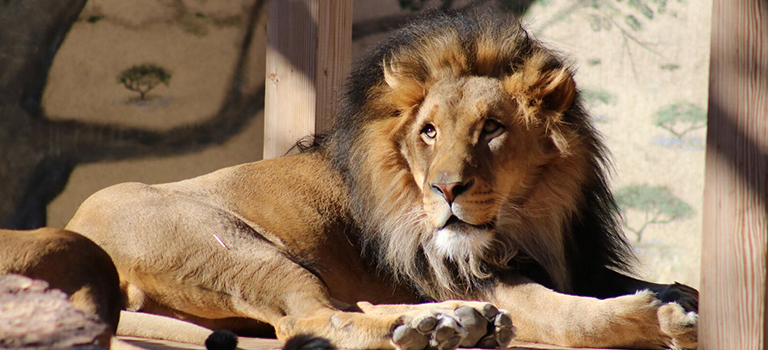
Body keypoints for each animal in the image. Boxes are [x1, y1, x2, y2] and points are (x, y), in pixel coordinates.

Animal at [69, 14, 700, 350]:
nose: (446, 191)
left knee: (337, 305)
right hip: (236, 252)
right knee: (309, 318)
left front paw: (680, 293)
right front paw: (663, 317)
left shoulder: (567, 256)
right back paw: (426, 325)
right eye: (428, 132)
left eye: (492, 129)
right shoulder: (483, 274)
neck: (536, 218)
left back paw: (451, 322)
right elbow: (575, 316)